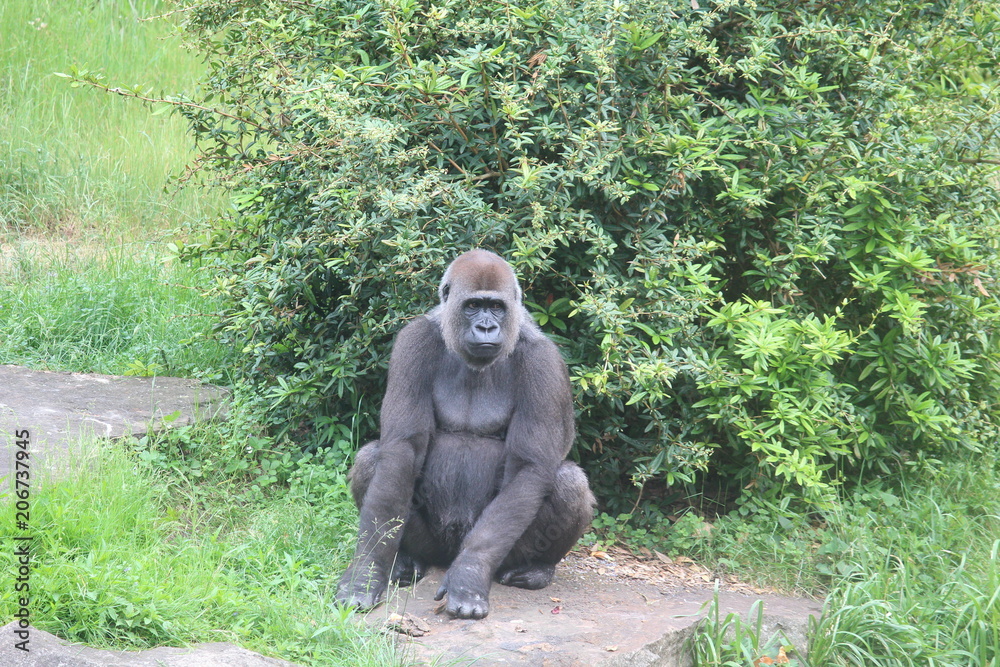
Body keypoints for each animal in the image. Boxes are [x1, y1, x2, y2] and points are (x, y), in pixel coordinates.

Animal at [335, 249, 595, 620]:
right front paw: (366, 572)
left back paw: (536, 568)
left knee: (569, 481)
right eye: (473, 305)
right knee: (372, 459)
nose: (486, 326)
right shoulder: (414, 341)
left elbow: (529, 467)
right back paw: (405, 560)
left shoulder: (542, 360)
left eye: (497, 307)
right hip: (434, 548)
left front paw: (469, 574)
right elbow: (401, 450)